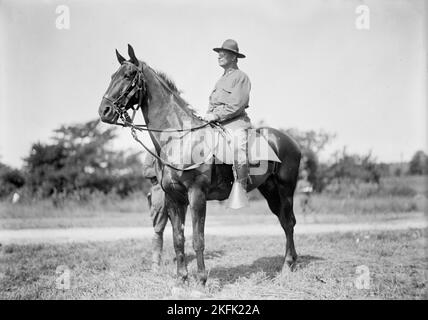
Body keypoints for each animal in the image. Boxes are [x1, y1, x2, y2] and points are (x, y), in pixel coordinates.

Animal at [99, 45, 302, 284]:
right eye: (112, 75)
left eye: (129, 75)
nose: (104, 111)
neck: (179, 139)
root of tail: (289, 141)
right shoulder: (173, 198)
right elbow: (178, 238)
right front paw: (182, 278)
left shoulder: (197, 195)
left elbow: (198, 239)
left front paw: (202, 279)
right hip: (269, 191)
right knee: (284, 221)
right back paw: (290, 263)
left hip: (286, 189)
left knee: (289, 222)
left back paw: (287, 266)